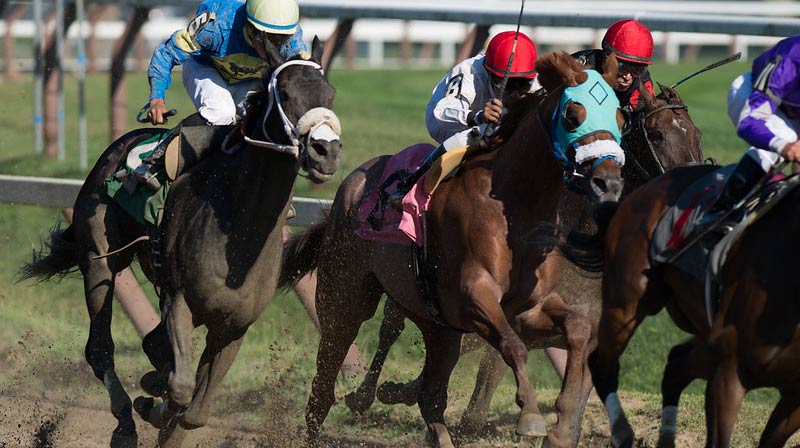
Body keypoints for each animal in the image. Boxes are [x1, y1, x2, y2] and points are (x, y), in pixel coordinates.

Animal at [19, 37, 341, 447]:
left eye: (329, 93)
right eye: (284, 93)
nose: (326, 151)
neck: (240, 233)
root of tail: (120, 145)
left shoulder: (234, 326)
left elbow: (194, 413)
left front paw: (159, 401)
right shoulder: (179, 301)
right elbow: (182, 389)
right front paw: (150, 405)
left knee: (151, 346)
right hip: (99, 258)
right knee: (100, 348)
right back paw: (125, 422)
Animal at [280, 51, 627, 448]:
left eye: (620, 117)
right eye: (573, 115)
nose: (609, 181)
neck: (517, 205)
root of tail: (351, 183)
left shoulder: (530, 305)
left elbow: (579, 328)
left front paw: (563, 423)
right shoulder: (474, 296)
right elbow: (513, 346)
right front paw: (531, 415)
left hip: (436, 324)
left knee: (432, 396)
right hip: (346, 298)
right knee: (325, 380)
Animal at [557, 161, 800, 447]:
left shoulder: (793, 398)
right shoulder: (730, 372)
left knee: (676, 364)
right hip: (626, 304)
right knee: (602, 364)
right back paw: (622, 432)